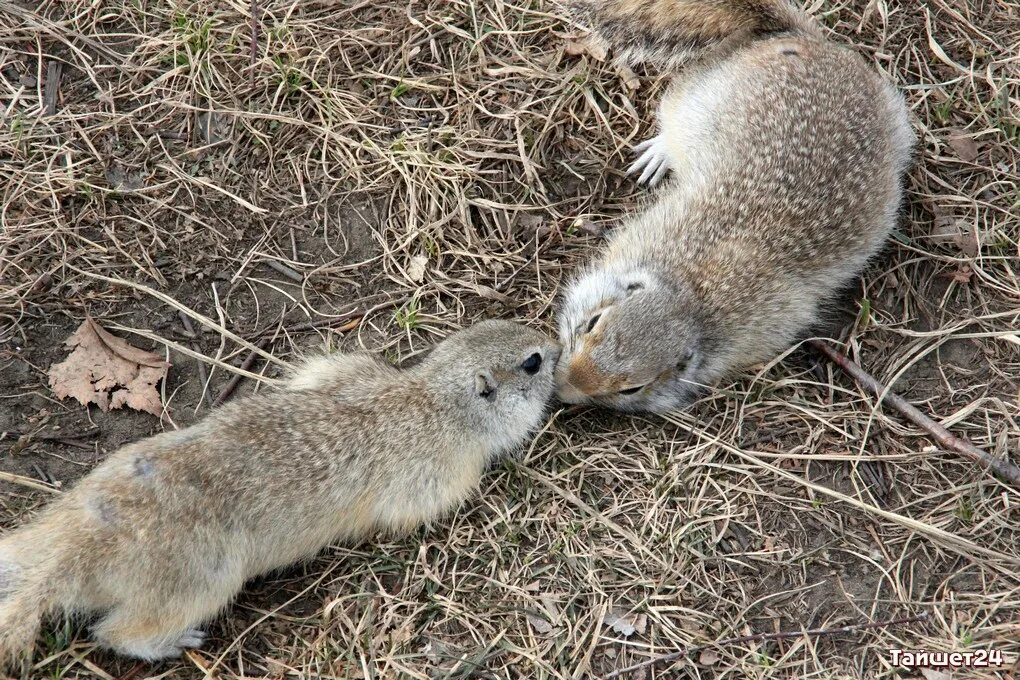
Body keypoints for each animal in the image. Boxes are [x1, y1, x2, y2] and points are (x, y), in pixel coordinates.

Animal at [0, 322, 558, 668]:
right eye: (532, 363)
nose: (554, 344)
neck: (434, 398)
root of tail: (77, 553)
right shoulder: (434, 472)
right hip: (201, 581)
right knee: (116, 633)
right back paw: (176, 641)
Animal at [558, 0, 918, 411]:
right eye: (592, 322)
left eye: (632, 388)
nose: (564, 388)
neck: (691, 292)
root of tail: (810, 41)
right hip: (695, 95)